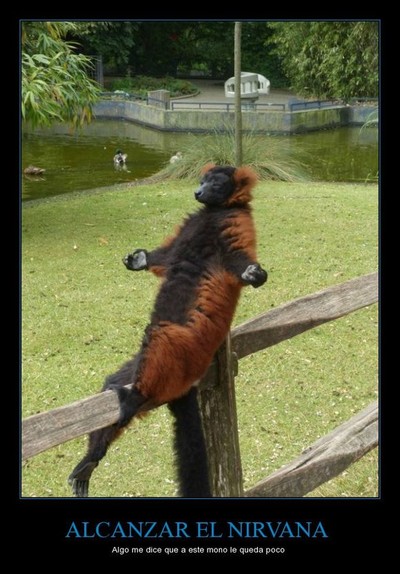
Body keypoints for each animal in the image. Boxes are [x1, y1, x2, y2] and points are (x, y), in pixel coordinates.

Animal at [68, 164, 267, 497]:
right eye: (201, 181)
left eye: (215, 184)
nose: (197, 192)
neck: (214, 211)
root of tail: (188, 380)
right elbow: (165, 259)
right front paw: (139, 259)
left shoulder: (234, 224)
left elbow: (238, 261)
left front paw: (253, 273)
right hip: (149, 366)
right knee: (114, 384)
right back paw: (93, 458)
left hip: (179, 352)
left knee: (160, 338)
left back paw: (135, 398)